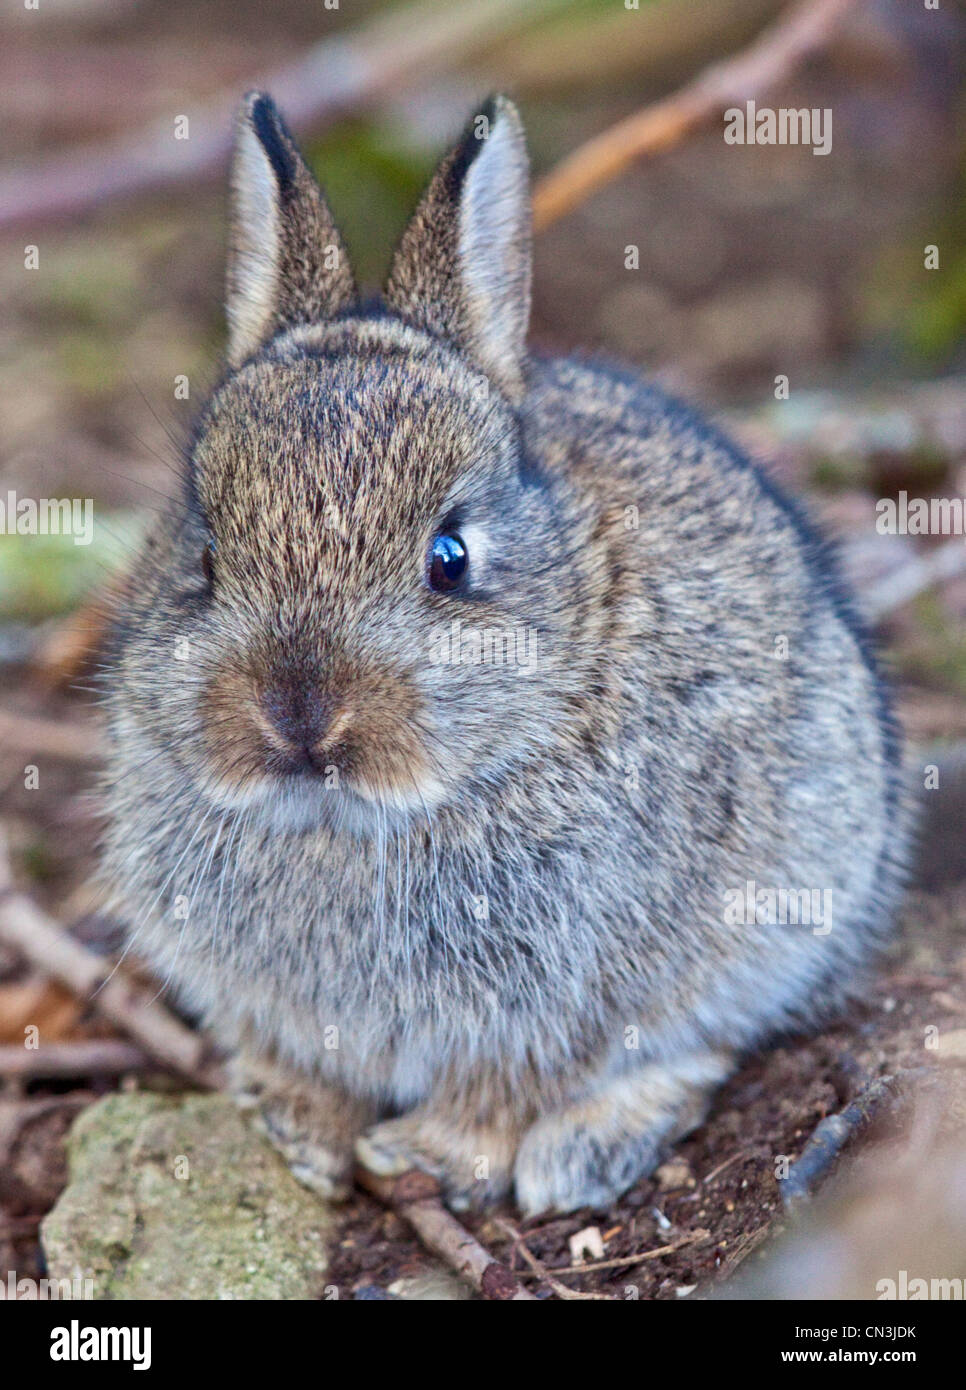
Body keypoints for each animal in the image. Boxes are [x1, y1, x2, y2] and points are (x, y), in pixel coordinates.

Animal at [100, 89, 911, 1217]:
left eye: (451, 558)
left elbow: (507, 1086)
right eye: (207, 556)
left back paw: (586, 1150)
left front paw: (434, 1155)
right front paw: (296, 1128)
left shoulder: (564, 989)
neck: (347, 817)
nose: (301, 714)